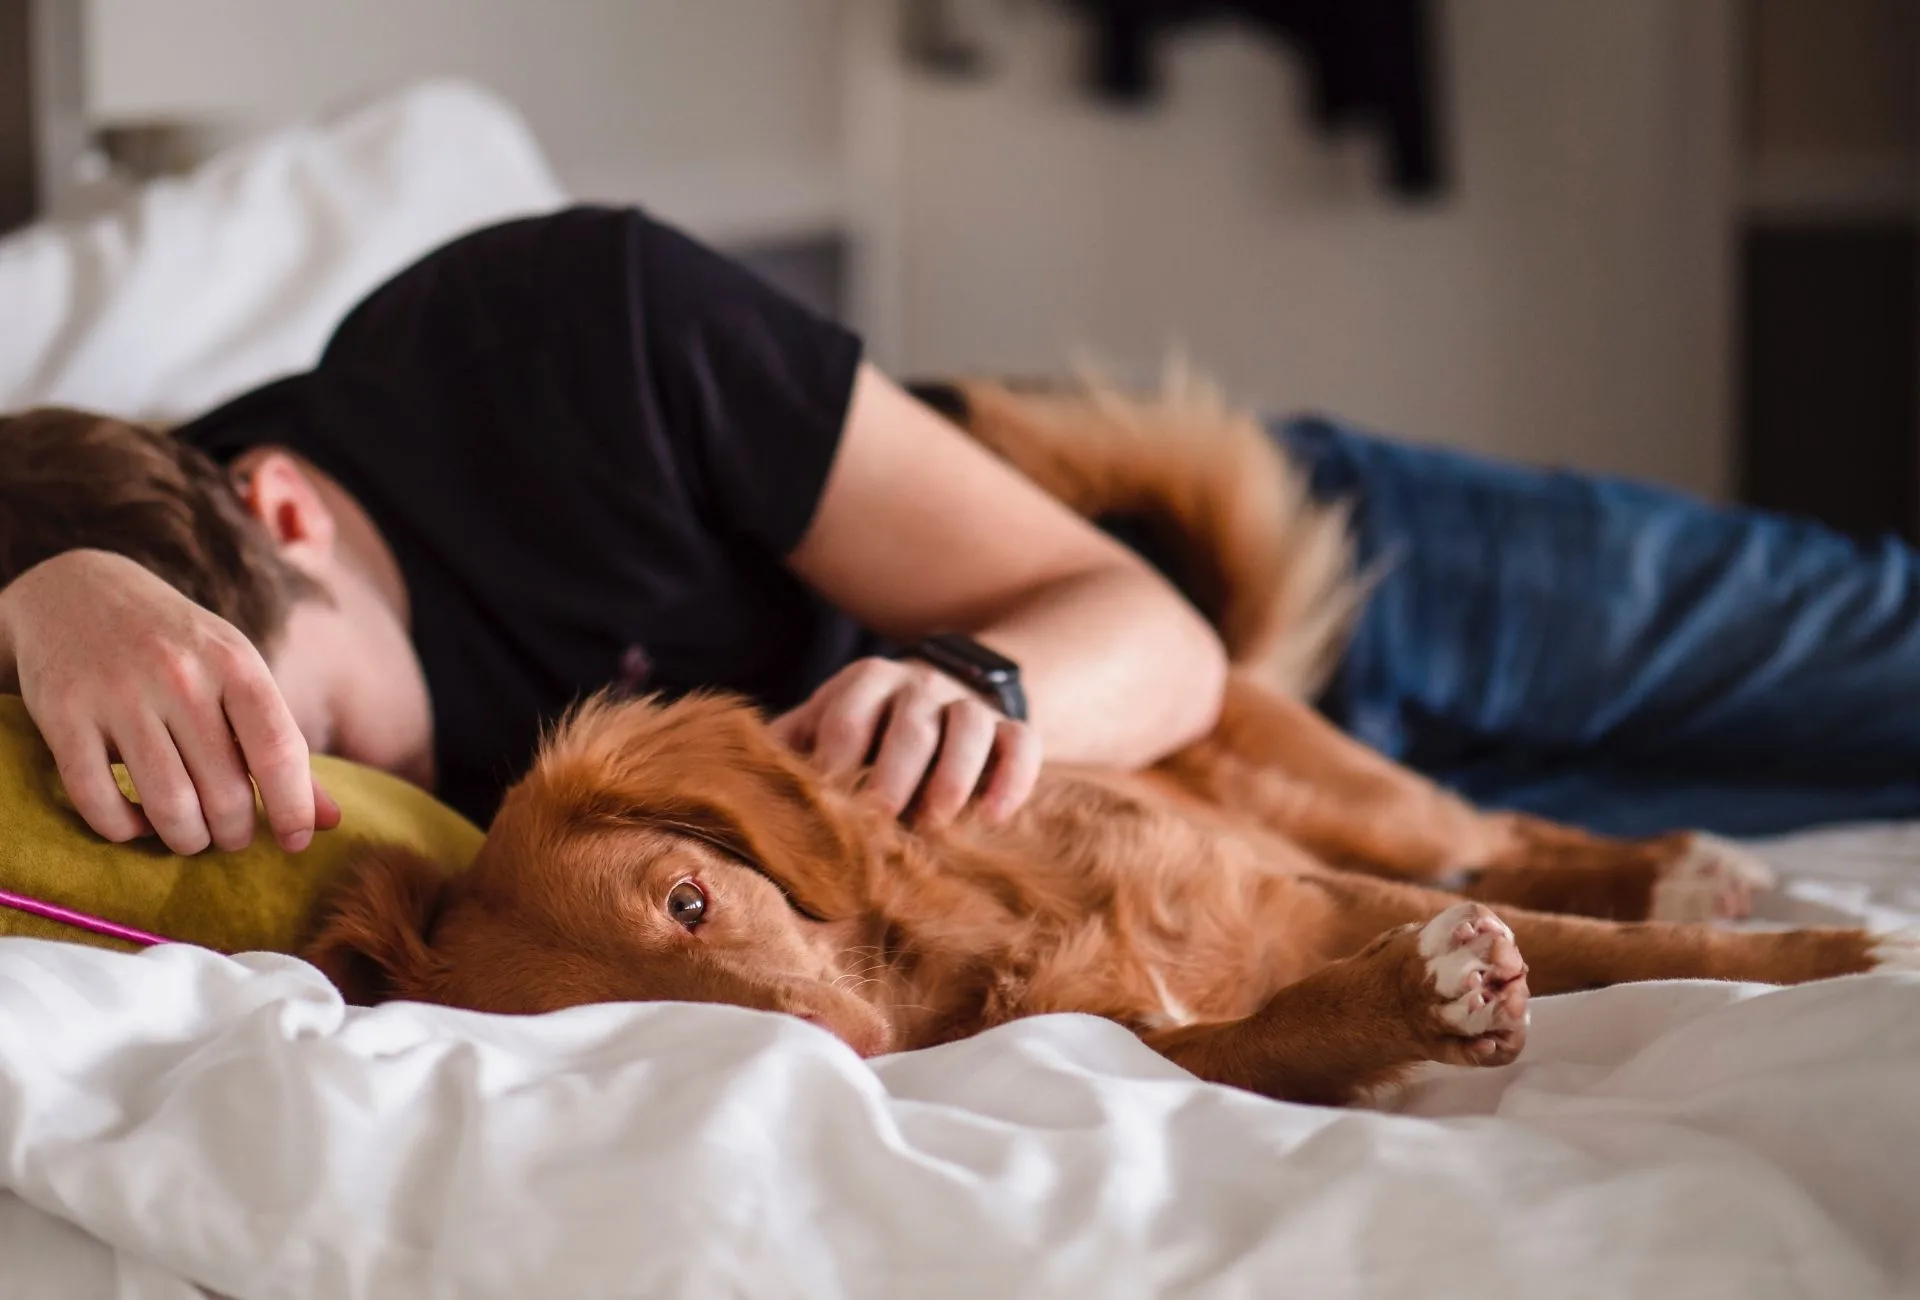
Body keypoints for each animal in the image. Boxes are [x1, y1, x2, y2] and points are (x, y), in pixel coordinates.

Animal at [303, 372, 1920, 1106]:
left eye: (692, 899)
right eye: (642, 1023)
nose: (851, 1050)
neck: (965, 941)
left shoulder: (1301, 883)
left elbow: (1630, 952)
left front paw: (1841, 954)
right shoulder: (1143, 1039)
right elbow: (1279, 1028)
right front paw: (1416, 1002)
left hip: (1361, 802)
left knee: (1507, 830)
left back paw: (1686, 863)